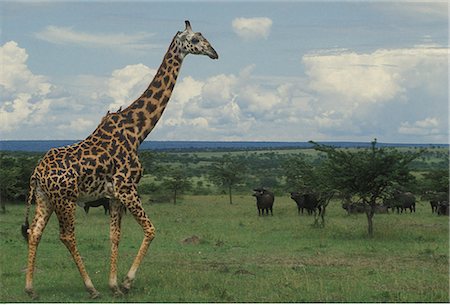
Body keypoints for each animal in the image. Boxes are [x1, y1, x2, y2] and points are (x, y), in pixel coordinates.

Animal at [21, 20, 218, 298]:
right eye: (195, 40)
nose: (214, 53)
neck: (138, 131)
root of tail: (36, 174)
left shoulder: (114, 195)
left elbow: (115, 236)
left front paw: (114, 285)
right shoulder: (128, 187)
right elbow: (150, 229)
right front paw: (125, 282)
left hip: (44, 198)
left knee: (35, 232)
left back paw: (30, 289)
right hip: (65, 199)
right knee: (67, 236)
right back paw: (91, 288)